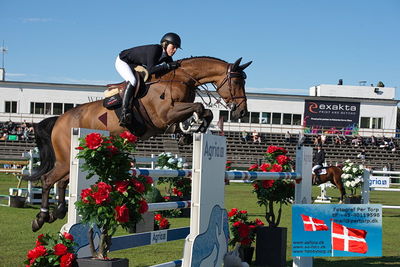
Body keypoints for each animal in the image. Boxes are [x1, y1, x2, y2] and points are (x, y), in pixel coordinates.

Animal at [25, 56, 252, 232]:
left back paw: (57, 212)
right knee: (47, 180)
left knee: (62, 182)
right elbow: (200, 107)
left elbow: (203, 112)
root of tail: (60, 119)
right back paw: (40, 218)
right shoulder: (166, 114)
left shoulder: (170, 120)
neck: (181, 79)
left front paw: (190, 132)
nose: (242, 112)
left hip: (72, 160)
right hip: (65, 159)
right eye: (237, 82)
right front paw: (197, 126)